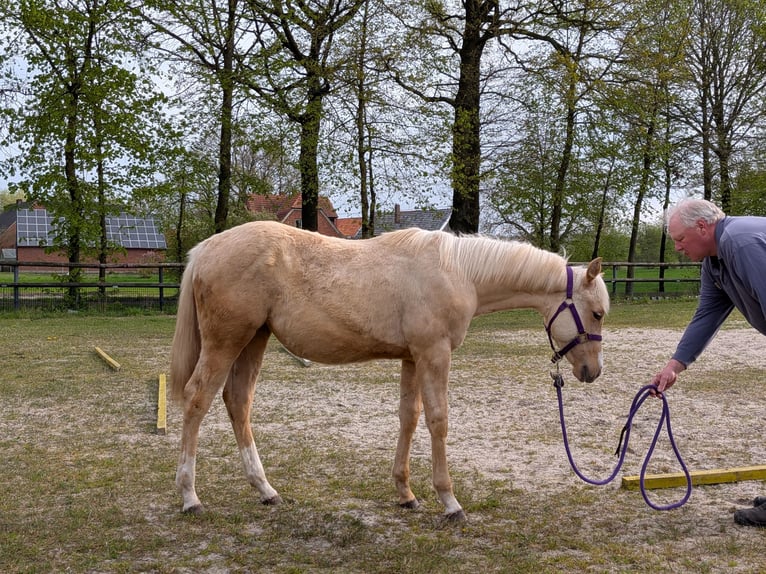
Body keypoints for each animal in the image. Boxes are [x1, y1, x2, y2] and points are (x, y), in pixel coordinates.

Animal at [169, 220, 609, 522]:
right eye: (597, 313)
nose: (593, 371)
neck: (457, 272)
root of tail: (207, 248)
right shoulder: (434, 354)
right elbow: (437, 420)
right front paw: (449, 501)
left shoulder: (412, 357)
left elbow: (409, 417)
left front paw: (406, 493)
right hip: (226, 342)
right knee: (198, 399)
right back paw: (190, 496)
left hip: (254, 340)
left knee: (237, 402)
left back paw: (265, 489)